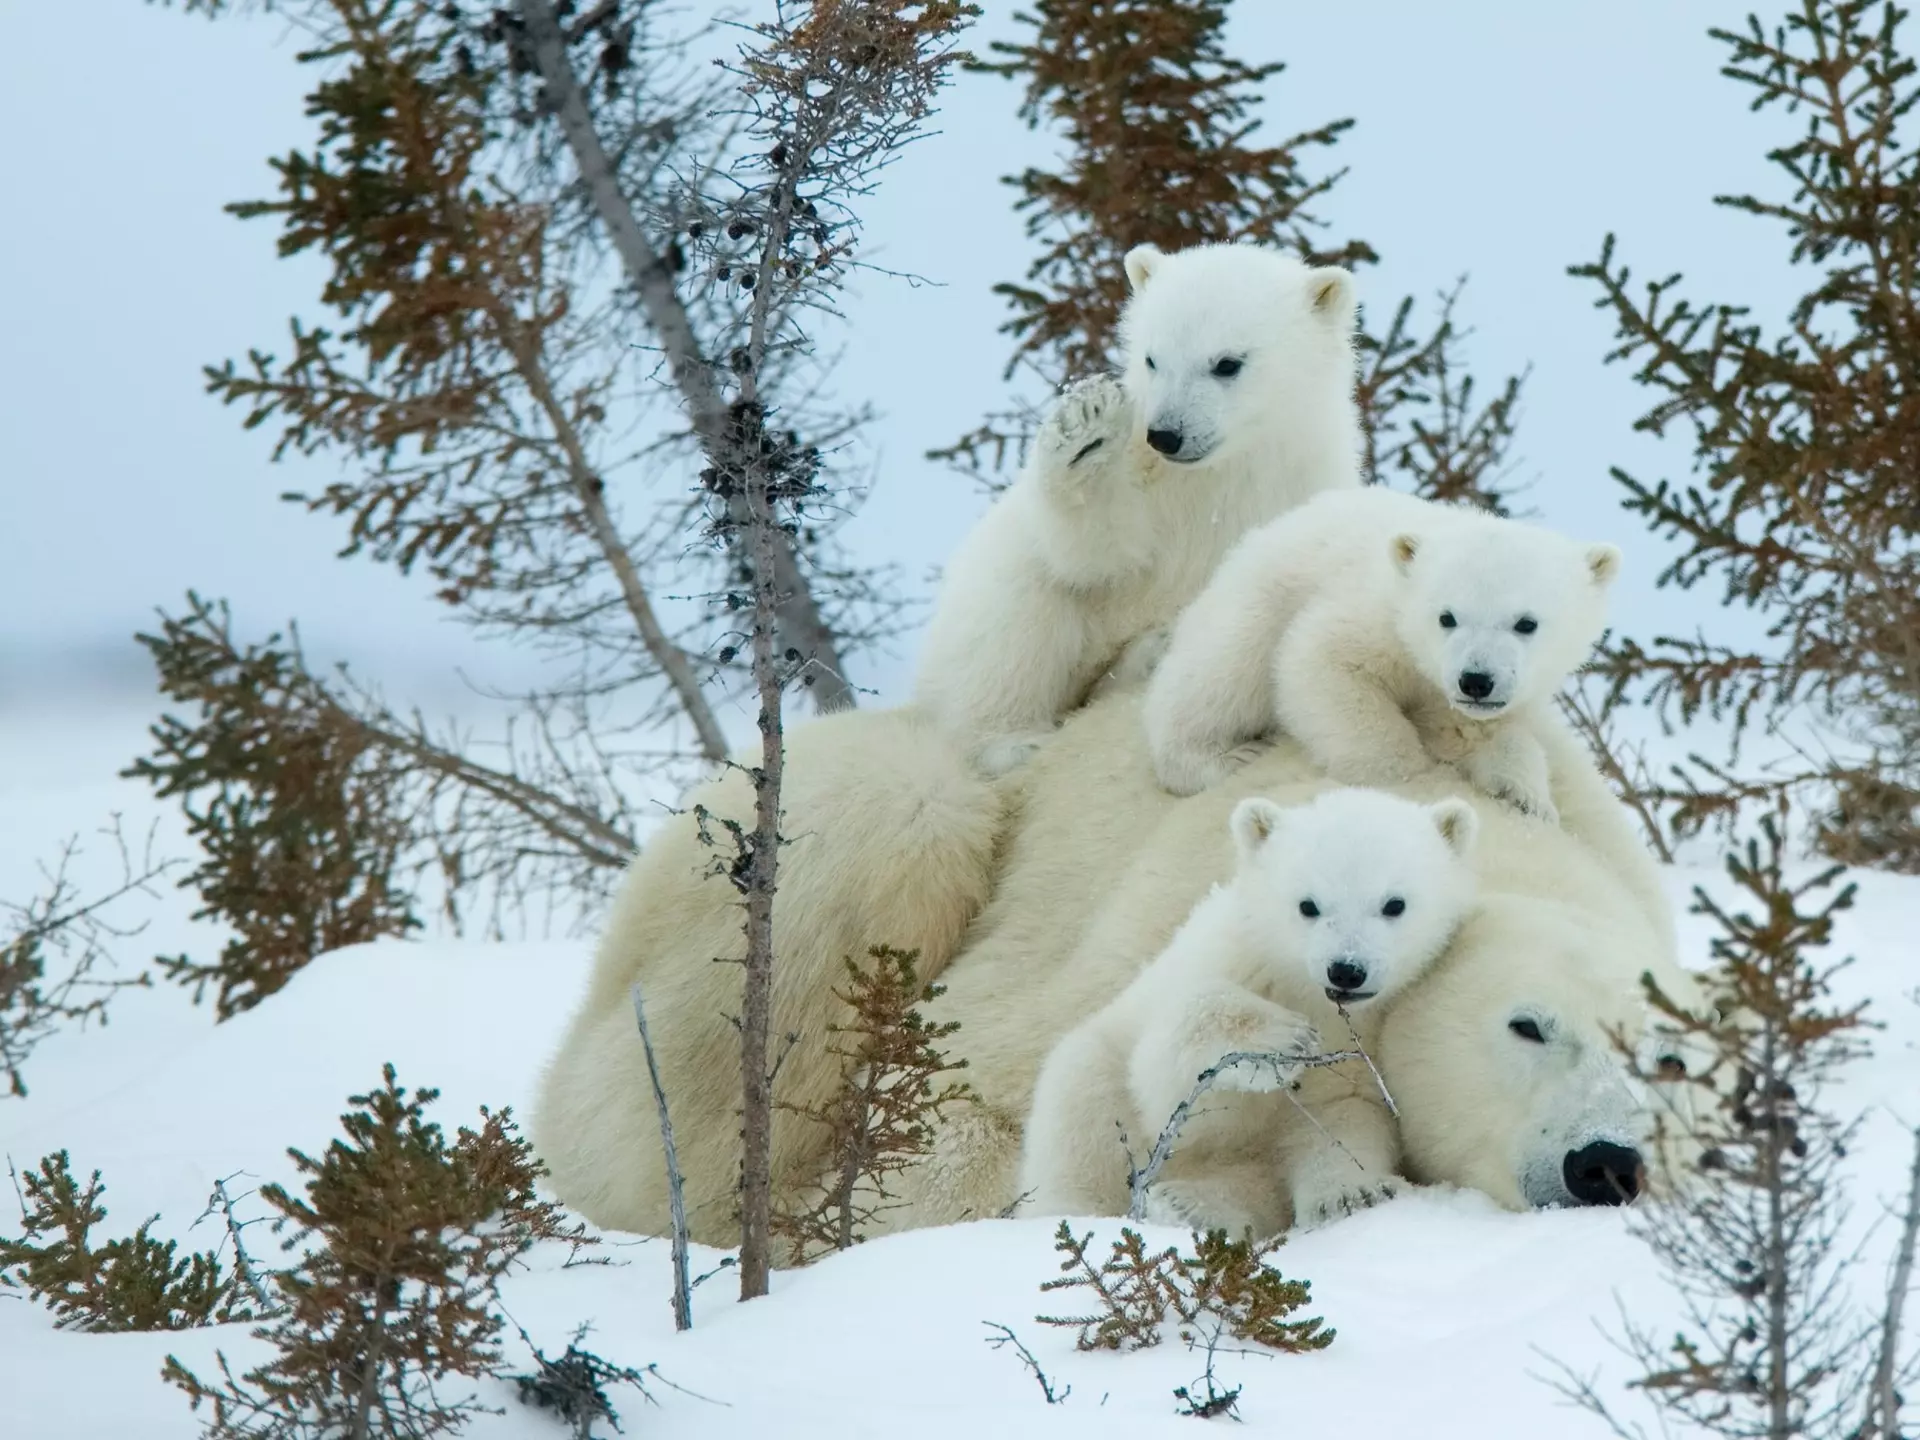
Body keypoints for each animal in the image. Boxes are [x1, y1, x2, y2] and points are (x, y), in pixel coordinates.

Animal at [912, 241, 1363, 778]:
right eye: (1152, 359)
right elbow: (1096, 555)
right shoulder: (1145, 478)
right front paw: (1084, 435)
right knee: (1014, 619)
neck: (1219, 474)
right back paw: (1014, 740)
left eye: (1227, 363)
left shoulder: (1297, 488)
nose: (1165, 434)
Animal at [1019, 787, 1479, 1239]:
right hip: (1093, 1073)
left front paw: (1351, 1195)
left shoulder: (1371, 1036)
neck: (1307, 992)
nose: (1346, 970)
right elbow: (1164, 1075)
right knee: (1083, 1118)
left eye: (1394, 904)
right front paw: (1284, 1040)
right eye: (1308, 905)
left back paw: (1191, 1206)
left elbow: (1341, 1114)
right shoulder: (1228, 960)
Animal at [1142, 486, 1623, 827]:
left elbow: (1479, 731)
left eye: (1526, 623)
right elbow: (1321, 664)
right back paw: (1221, 757)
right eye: (1446, 617)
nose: (1476, 680)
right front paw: (1409, 777)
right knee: (1221, 676)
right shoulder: (1371, 617)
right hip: (1251, 607)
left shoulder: (1453, 696)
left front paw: (1527, 797)